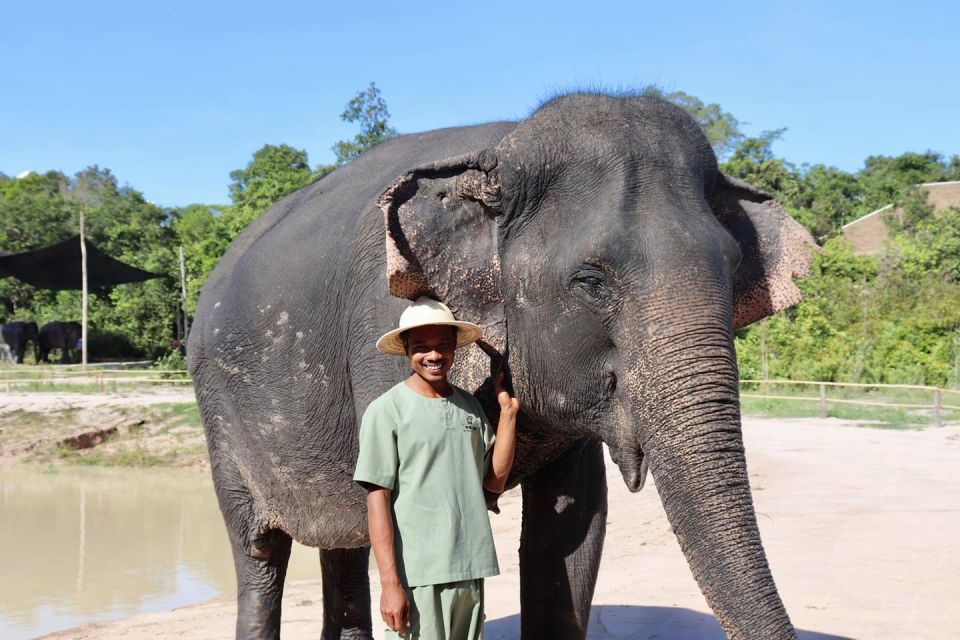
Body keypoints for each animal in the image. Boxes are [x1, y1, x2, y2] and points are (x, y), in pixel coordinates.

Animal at [189, 91, 816, 640]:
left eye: (733, 268)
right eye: (592, 281)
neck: (504, 146)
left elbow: (569, 528)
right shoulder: (380, 318)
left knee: (347, 539)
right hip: (220, 419)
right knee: (260, 551)